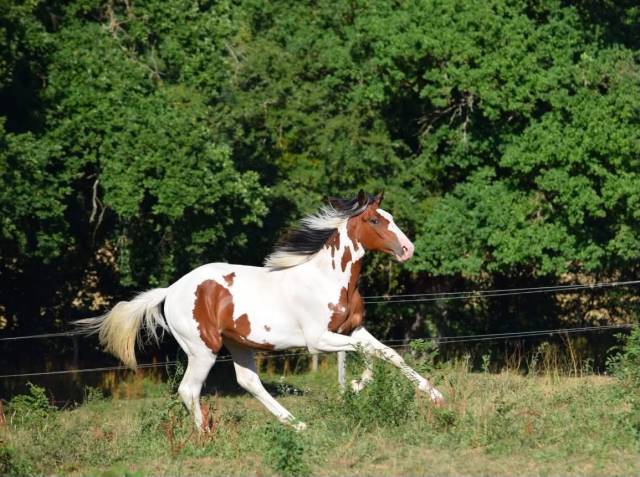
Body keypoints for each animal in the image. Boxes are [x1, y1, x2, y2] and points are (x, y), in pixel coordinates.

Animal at [76, 190, 444, 430]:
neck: (328, 279)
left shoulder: (352, 329)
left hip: (238, 343)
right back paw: (205, 435)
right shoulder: (319, 340)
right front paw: (354, 387)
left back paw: (296, 424)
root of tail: (170, 291)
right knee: (189, 389)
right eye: (374, 220)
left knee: (249, 381)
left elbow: (388, 354)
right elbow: (368, 354)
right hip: (203, 349)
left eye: (391, 218)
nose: (408, 249)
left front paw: (435, 396)